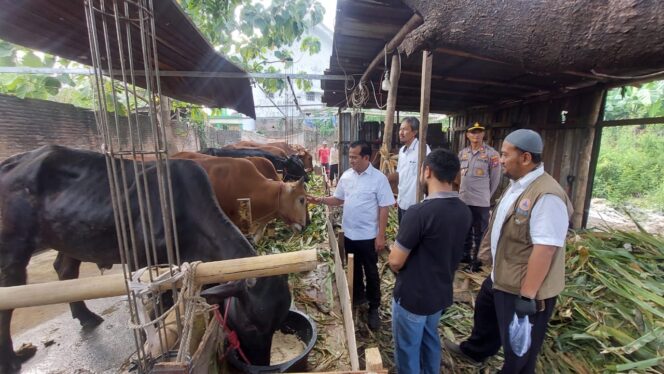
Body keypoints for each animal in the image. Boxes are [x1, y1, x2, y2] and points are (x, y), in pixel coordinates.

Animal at [0, 145, 290, 372]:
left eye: (278, 324)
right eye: (251, 325)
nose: (261, 363)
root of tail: (13, 161)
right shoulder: (141, 262)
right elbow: (157, 306)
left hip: (70, 237)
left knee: (64, 270)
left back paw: (85, 315)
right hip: (14, 249)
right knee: (9, 297)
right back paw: (12, 359)